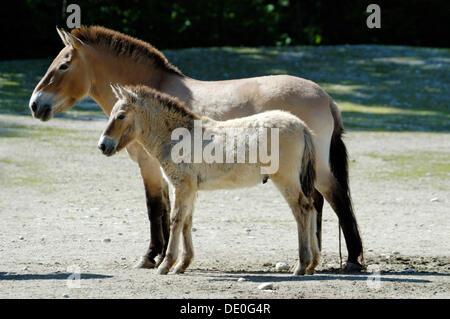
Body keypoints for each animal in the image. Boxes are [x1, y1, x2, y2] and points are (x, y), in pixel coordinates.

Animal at [98, 84, 320, 276]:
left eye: (121, 115)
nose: (102, 146)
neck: (177, 136)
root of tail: (300, 125)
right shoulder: (190, 189)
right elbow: (187, 221)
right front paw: (182, 265)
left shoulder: (181, 186)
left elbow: (176, 219)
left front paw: (166, 265)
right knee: (311, 207)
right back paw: (312, 264)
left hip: (285, 179)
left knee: (302, 209)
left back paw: (301, 265)